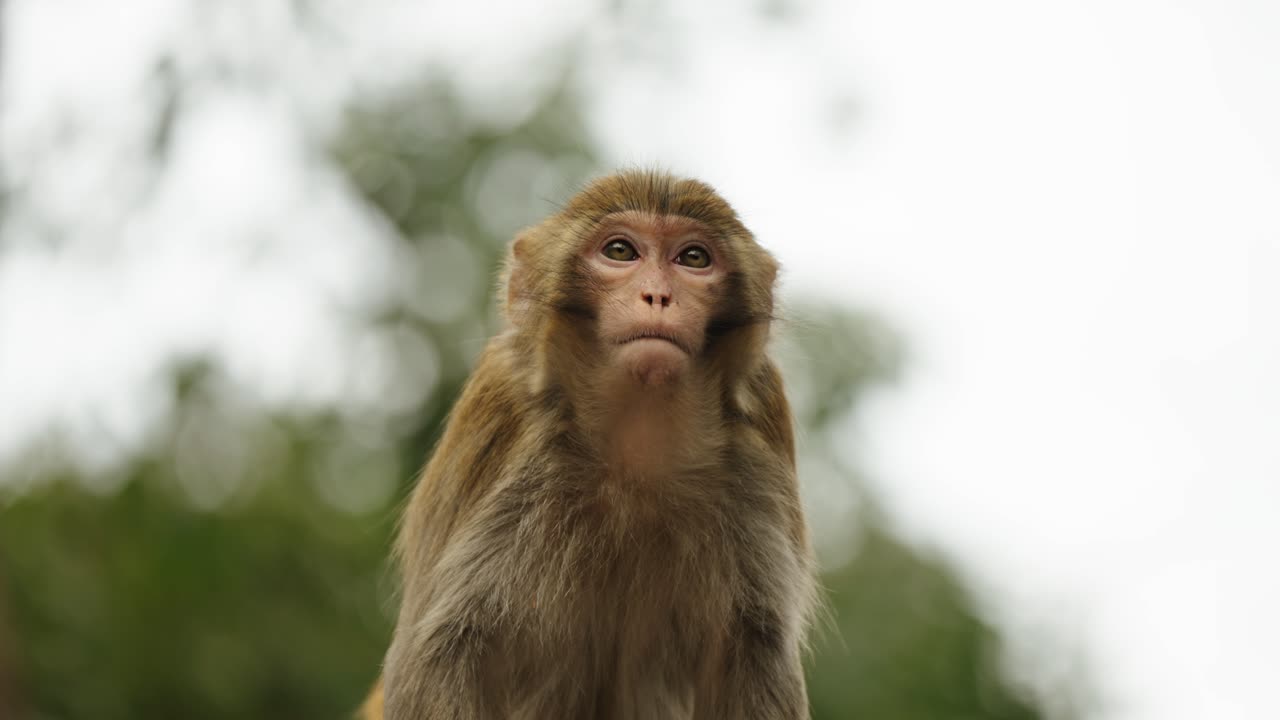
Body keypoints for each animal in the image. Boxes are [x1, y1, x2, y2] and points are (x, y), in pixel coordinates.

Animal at [363, 170, 817, 720]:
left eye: (693, 258)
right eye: (620, 251)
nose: (657, 296)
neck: (638, 441)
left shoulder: (763, 425)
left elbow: (755, 651)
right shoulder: (502, 407)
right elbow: (437, 654)